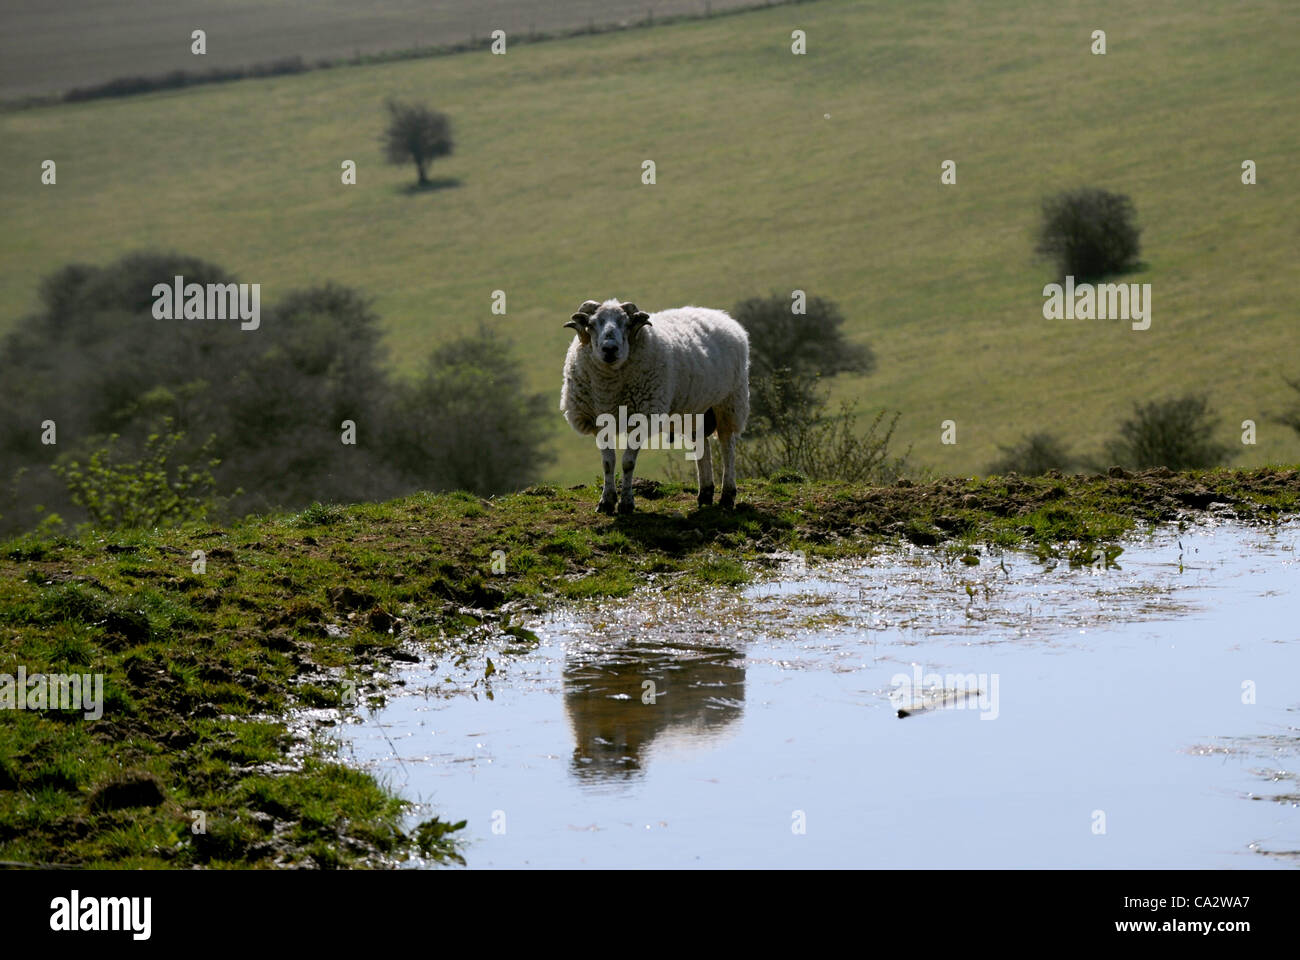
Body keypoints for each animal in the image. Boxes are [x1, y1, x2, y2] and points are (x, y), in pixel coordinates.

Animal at [559, 295, 754, 512]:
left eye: (627, 324)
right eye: (591, 324)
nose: (610, 349)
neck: (609, 389)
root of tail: (721, 315)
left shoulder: (642, 418)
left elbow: (627, 463)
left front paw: (626, 503)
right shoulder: (599, 421)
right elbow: (608, 463)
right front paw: (606, 502)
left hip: (729, 402)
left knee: (727, 446)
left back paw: (727, 496)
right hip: (696, 409)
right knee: (702, 445)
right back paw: (705, 494)